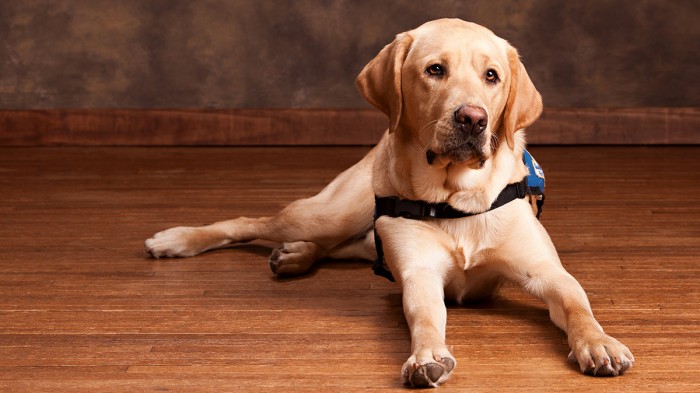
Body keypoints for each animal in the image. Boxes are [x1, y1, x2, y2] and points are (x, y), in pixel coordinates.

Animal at [146, 18, 636, 386]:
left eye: (492, 76)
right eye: (435, 70)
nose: (472, 119)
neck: (456, 197)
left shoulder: (546, 272)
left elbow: (577, 305)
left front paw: (599, 343)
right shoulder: (419, 273)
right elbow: (425, 316)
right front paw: (427, 356)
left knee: (349, 246)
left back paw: (295, 256)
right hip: (330, 212)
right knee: (255, 221)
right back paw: (178, 239)